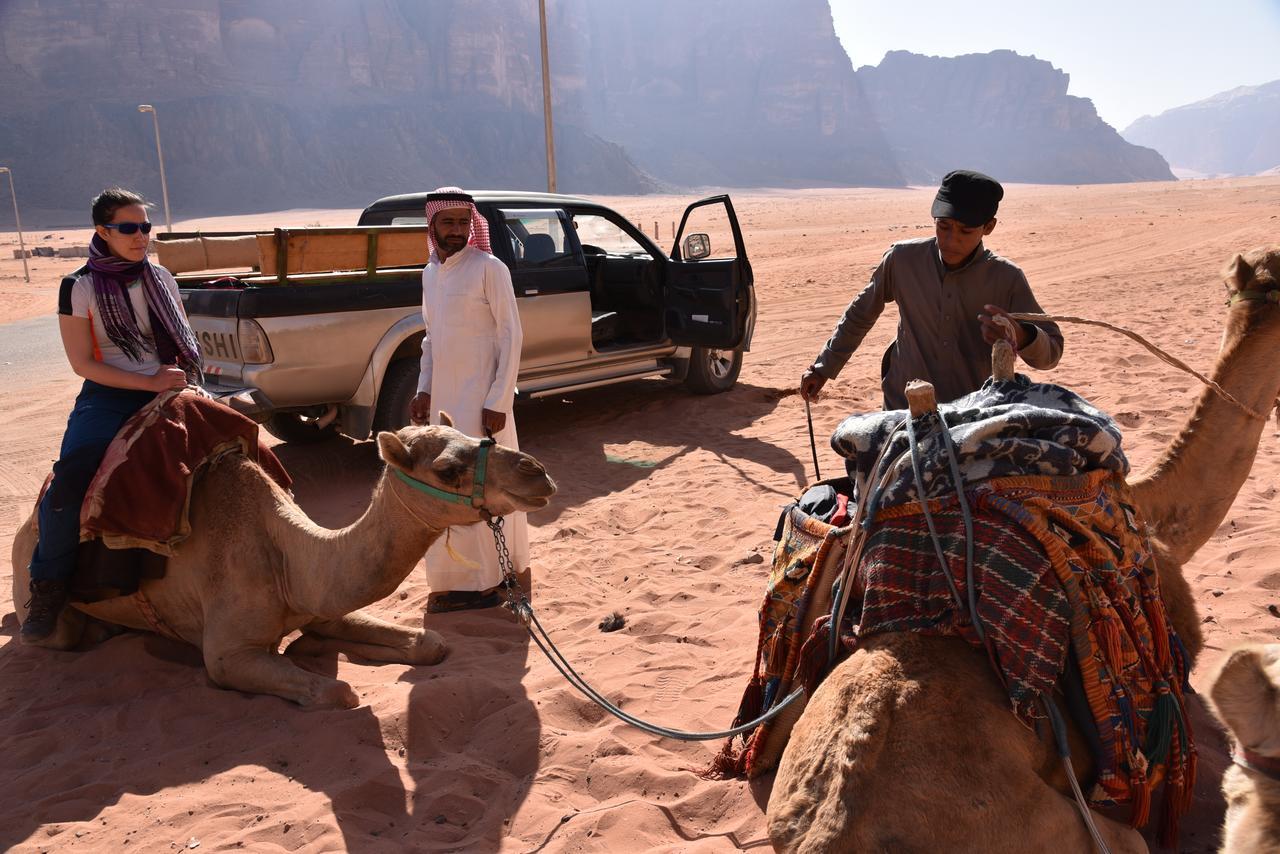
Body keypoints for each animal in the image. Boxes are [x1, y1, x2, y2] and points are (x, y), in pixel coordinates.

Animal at [8, 419, 560, 706]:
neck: (289, 558)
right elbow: (337, 694)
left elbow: (433, 643)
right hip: (37, 589)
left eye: (476, 433)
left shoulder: (320, 600)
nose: (537, 472)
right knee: (52, 631)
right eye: (447, 468)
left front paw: (326, 643)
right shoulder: (226, 654)